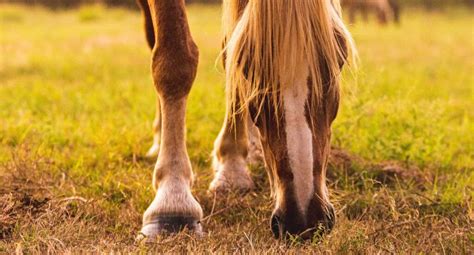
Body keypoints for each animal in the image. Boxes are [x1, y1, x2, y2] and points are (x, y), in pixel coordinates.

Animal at [133, 0, 356, 240]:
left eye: (341, 56)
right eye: (247, 65)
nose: (303, 219)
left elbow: (229, 47)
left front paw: (232, 168)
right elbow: (174, 57)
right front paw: (172, 202)